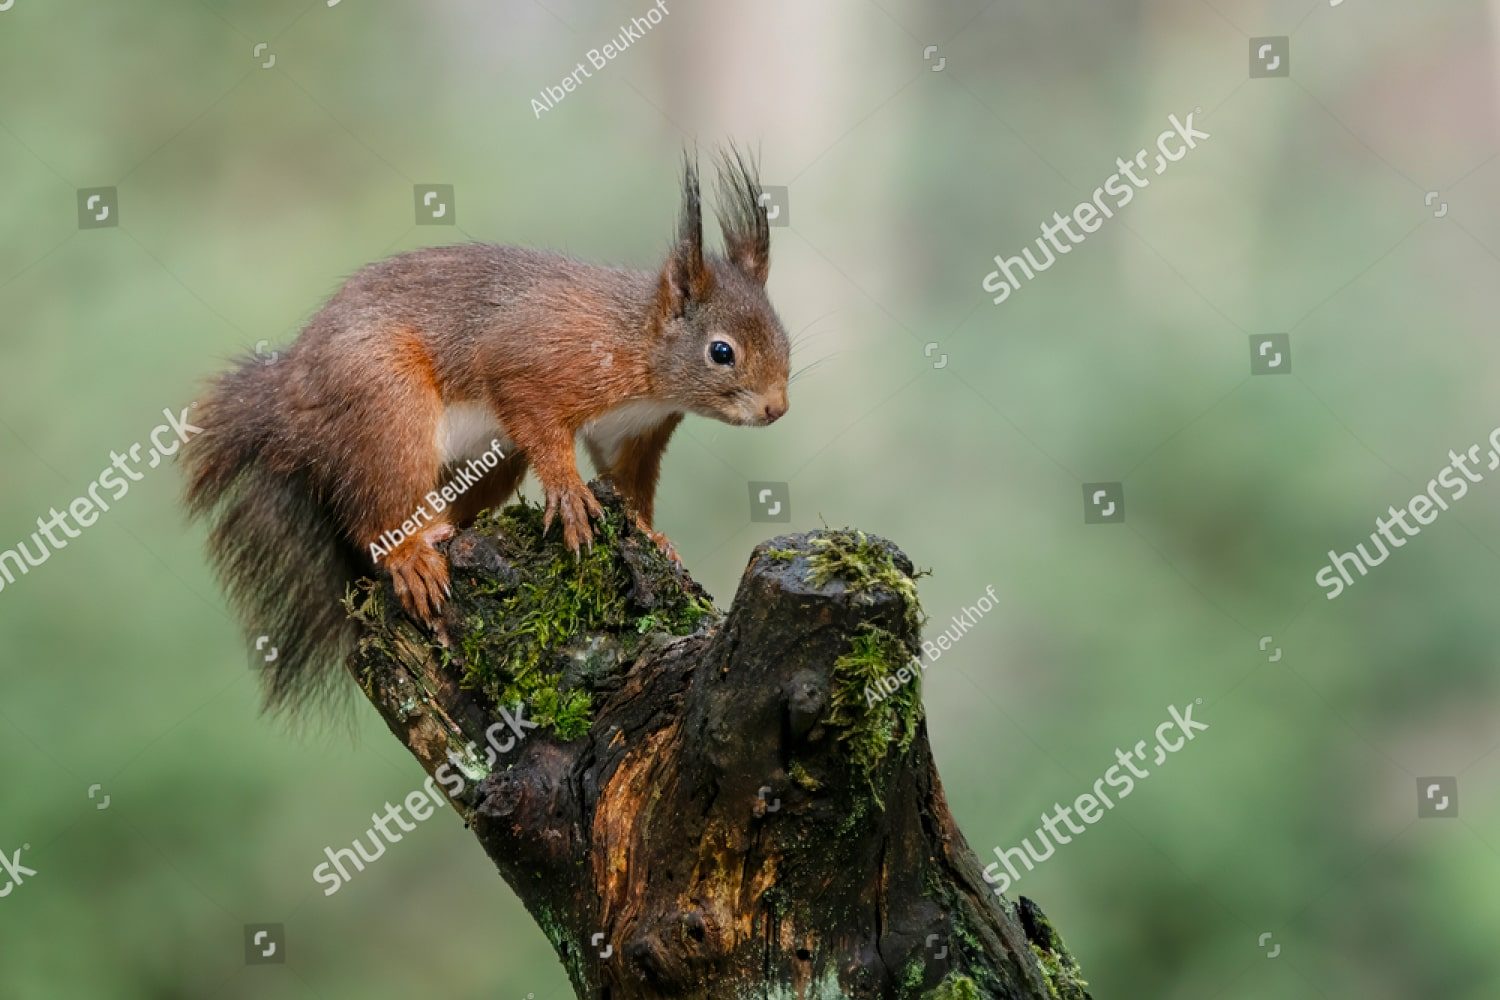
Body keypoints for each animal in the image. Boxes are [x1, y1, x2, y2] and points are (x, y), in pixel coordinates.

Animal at [182, 148, 790, 709]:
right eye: (721, 352)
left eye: (782, 336)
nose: (777, 409)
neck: (637, 345)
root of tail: (290, 408)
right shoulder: (533, 362)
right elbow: (536, 417)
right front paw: (570, 496)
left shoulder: (633, 433)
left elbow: (628, 485)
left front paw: (651, 536)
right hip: (386, 406)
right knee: (376, 511)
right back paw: (411, 553)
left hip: (486, 457)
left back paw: (448, 527)